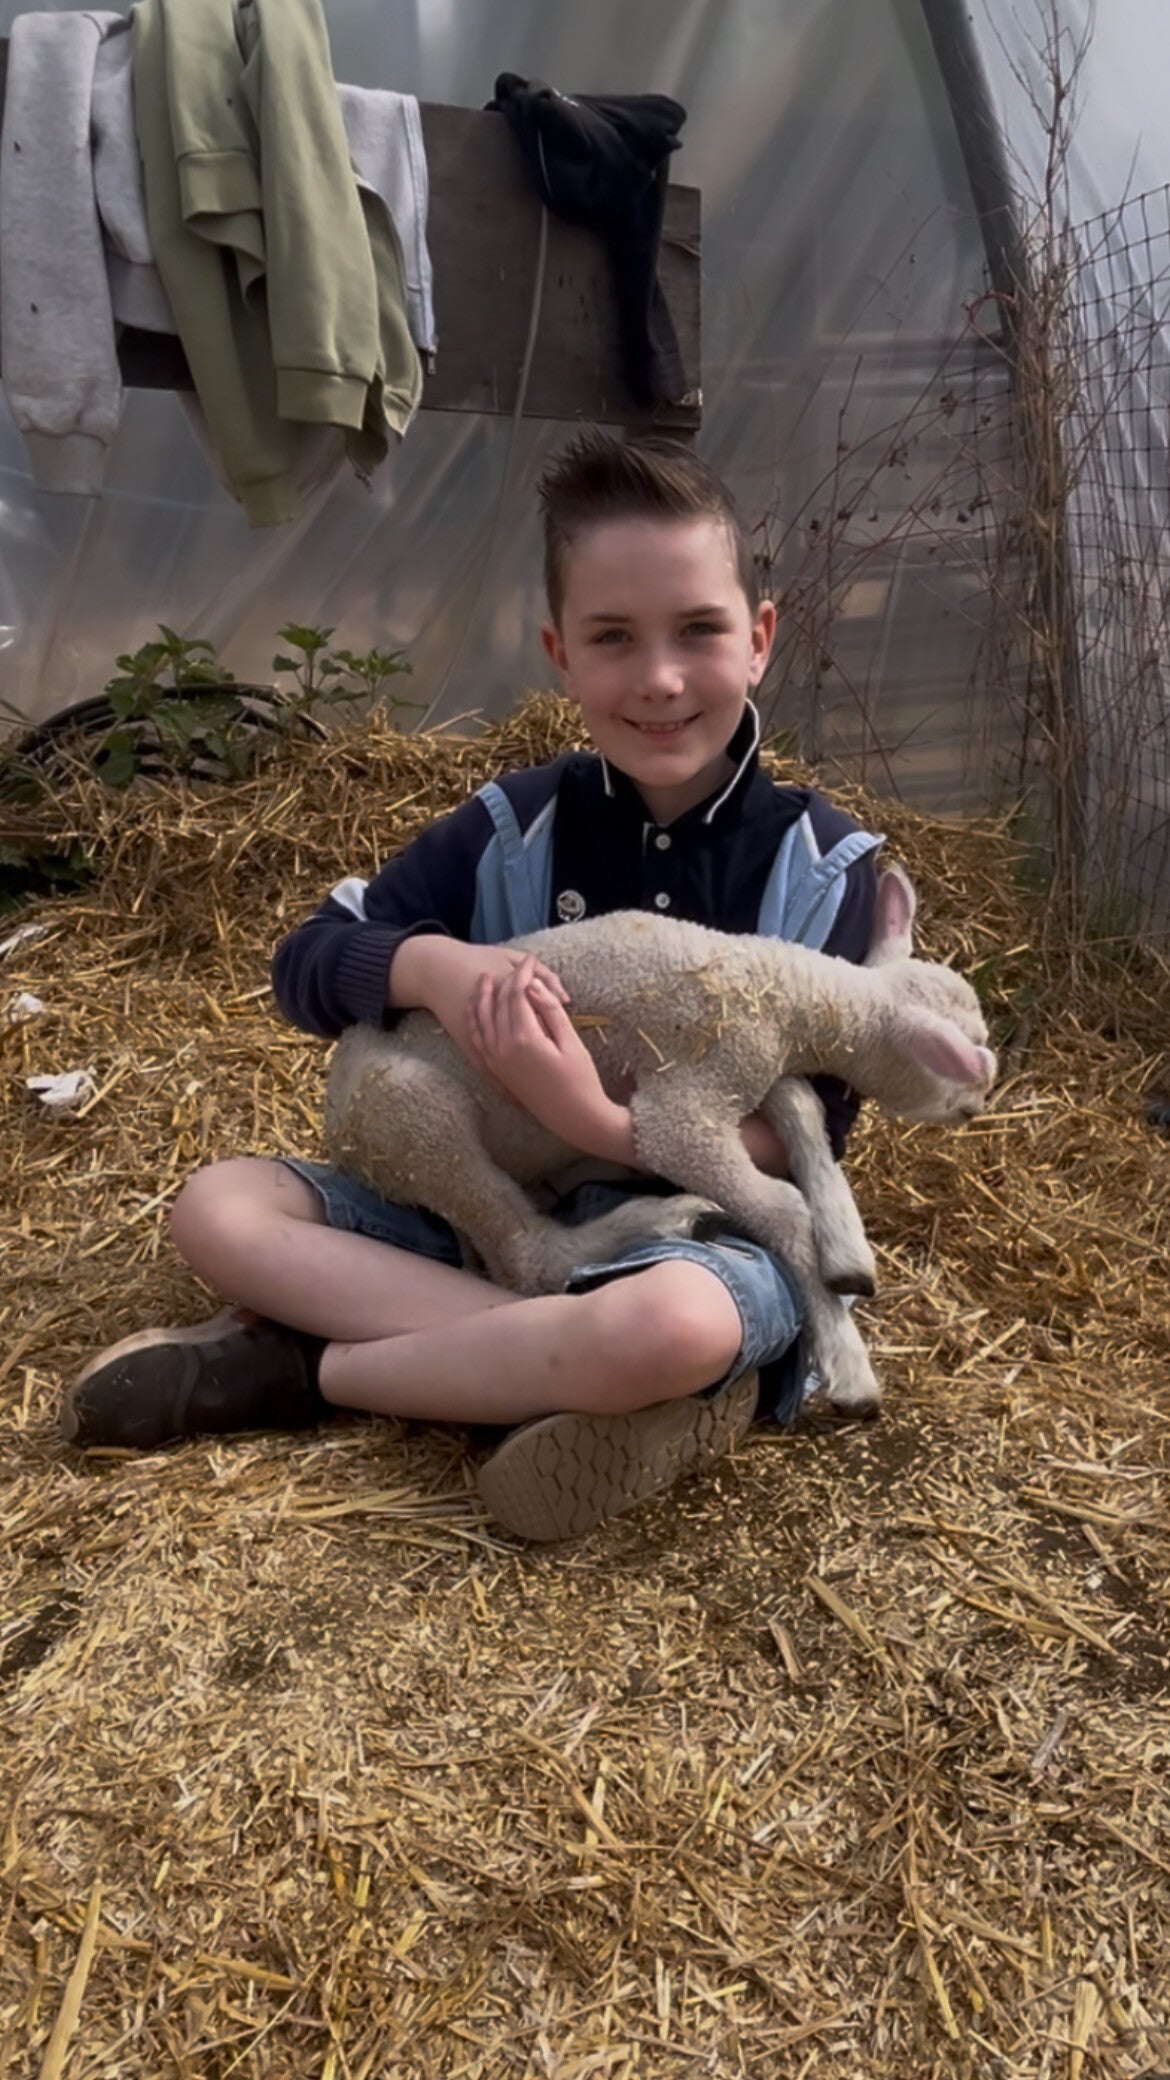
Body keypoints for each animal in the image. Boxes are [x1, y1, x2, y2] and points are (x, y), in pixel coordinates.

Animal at [323, 864, 996, 1413]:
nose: (978, 1106)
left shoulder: (748, 1073)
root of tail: (337, 1132)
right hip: (415, 1121)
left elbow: (803, 1110)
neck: (781, 996)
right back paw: (668, 1217)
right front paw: (846, 1361)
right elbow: (777, 1203)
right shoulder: (689, 1102)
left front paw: (847, 1252)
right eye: (960, 1066)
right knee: (525, 1256)